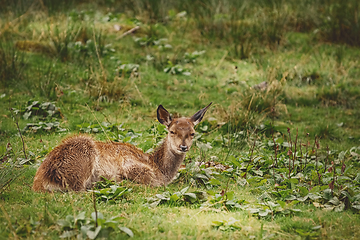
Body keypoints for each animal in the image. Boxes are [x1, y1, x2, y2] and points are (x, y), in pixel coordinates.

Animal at [32, 102, 212, 191]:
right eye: (172, 131)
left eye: (192, 133)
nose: (183, 147)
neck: (159, 167)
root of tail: (43, 180)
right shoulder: (131, 165)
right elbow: (153, 183)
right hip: (81, 159)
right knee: (79, 189)